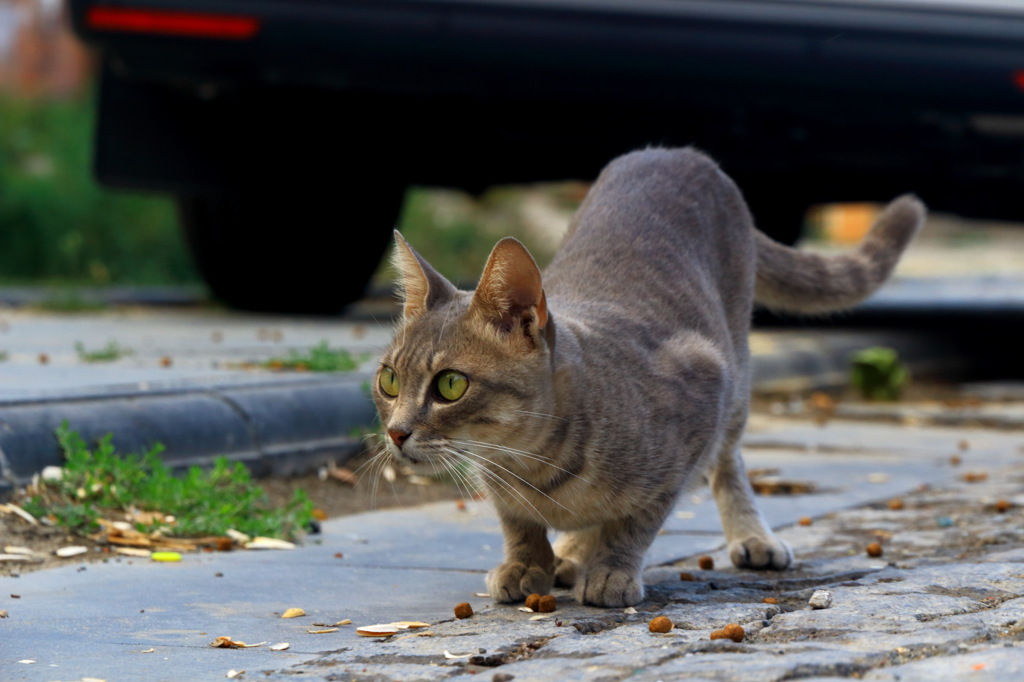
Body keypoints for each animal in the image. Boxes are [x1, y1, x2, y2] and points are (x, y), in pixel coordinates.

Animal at [372, 144, 925, 606]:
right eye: (389, 381)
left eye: (451, 385)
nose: (395, 432)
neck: (533, 466)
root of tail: (679, 153)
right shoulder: (502, 480)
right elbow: (517, 519)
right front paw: (528, 561)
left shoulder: (701, 395)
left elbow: (639, 518)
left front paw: (611, 569)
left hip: (737, 376)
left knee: (728, 462)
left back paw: (750, 536)